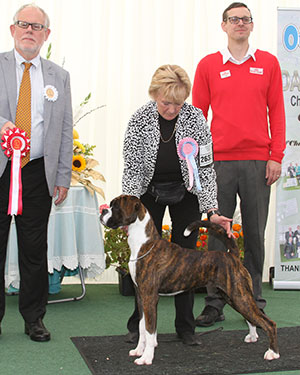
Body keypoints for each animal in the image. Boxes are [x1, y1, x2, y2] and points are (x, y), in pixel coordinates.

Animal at [99, 195, 280, 366]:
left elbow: (150, 331)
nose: (103, 211)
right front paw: (138, 350)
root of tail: (233, 255)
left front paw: (146, 358)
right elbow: (142, 327)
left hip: (240, 296)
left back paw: (272, 353)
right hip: (233, 297)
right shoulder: (141, 297)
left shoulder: (149, 297)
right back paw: (253, 336)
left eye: (115, 207)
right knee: (251, 318)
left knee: (269, 323)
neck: (144, 243)